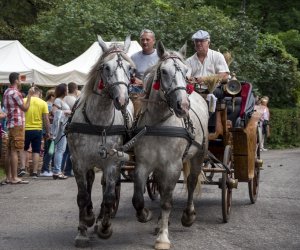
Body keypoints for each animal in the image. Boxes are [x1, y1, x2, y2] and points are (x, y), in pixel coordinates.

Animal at [68, 35, 135, 248]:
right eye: (105, 67)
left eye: (130, 69)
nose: (121, 99)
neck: (99, 123)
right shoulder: (78, 161)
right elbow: (82, 196)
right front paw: (83, 229)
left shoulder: (113, 162)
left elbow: (109, 196)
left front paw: (104, 227)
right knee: (89, 183)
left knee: (106, 185)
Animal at [132, 40, 210, 249]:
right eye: (164, 71)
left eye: (186, 71)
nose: (183, 106)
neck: (160, 124)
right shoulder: (143, 164)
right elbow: (138, 198)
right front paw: (146, 215)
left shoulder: (173, 166)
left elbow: (167, 202)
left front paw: (163, 238)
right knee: (161, 188)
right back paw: (159, 222)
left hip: (199, 154)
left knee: (191, 182)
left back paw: (188, 215)